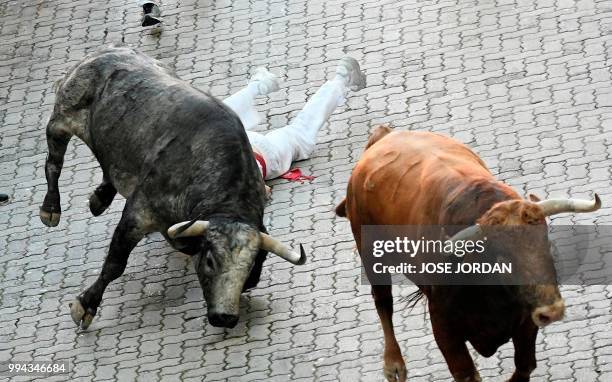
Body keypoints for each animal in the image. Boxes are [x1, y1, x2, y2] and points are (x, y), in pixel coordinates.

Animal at [40, 46, 304, 330]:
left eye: (250, 266)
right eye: (210, 260)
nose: (225, 317)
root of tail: (106, 52)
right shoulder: (138, 213)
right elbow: (115, 263)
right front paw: (85, 306)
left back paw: (99, 198)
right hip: (62, 119)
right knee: (53, 164)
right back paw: (51, 209)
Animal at [338, 126, 600, 382]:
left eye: (548, 246)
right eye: (503, 260)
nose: (552, 311)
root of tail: (383, 137)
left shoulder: (526, 319)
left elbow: (525, 365)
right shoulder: (444, 327)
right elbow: (466, 373)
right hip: (370, 252)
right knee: (383, 300)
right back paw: (393, 364)